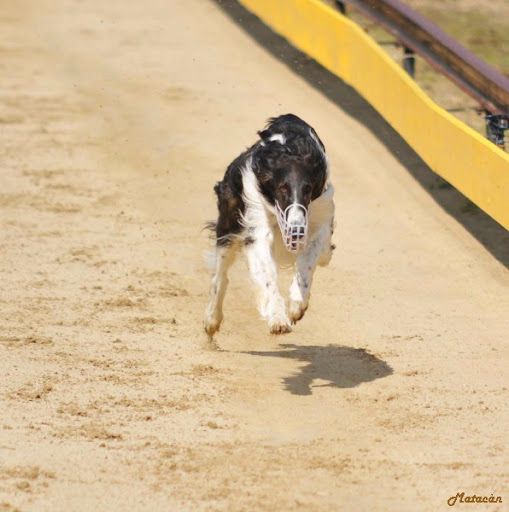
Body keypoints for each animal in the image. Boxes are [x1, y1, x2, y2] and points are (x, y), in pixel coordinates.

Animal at [202, 113, 334, 336]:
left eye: (307, 189)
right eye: (282, 188)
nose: (296, 232)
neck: (290, 150)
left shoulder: (320, 219)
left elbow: (308, 260)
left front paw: (297, 304)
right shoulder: (258, 229)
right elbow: (267, 277)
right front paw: (278, 317)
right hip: (229, 226)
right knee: (220, 276)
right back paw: (212, 320)